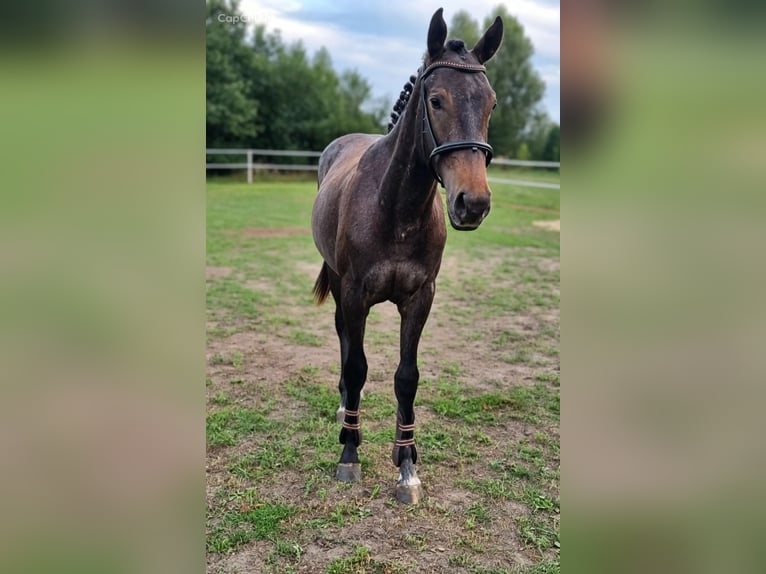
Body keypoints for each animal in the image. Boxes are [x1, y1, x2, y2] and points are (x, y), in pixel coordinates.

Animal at [311, 8, 503, 504]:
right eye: (436, 100)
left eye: (491, 103)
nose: (473, 203)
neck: (396, 209)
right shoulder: (355, 293)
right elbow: (358, 365)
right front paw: (350, 454)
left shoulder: (420, 298)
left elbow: (406, 377)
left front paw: (407, 464)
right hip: (337, 282)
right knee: (344, 340)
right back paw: (345, 409)